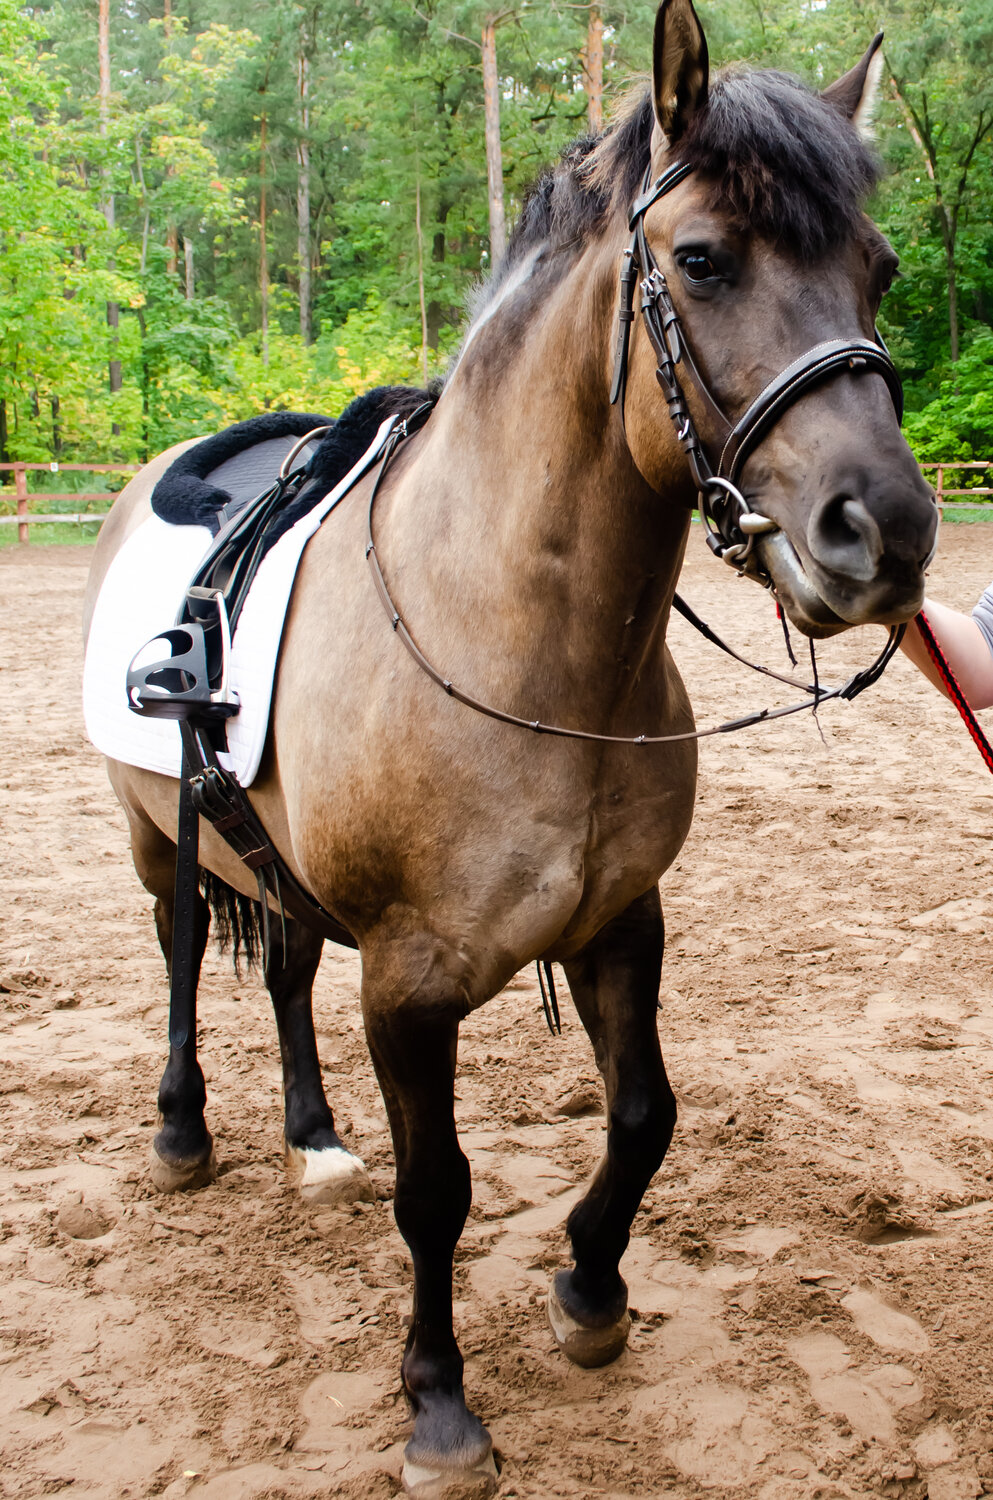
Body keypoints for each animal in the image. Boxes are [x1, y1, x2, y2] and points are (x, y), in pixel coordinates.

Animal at [83, 1, 938, 1491]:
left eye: (877, 269)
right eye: (701, 259)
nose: (882, 533)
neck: (512, 643)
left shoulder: (622, 923)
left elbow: (646, 1114)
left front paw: (590, 1292)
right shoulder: (411, 983)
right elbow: (439, 1192)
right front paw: (438, 1405)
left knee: (286, 971)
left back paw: (314, 1141)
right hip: (156, 835)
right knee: (187, 954)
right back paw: (183, 1131)